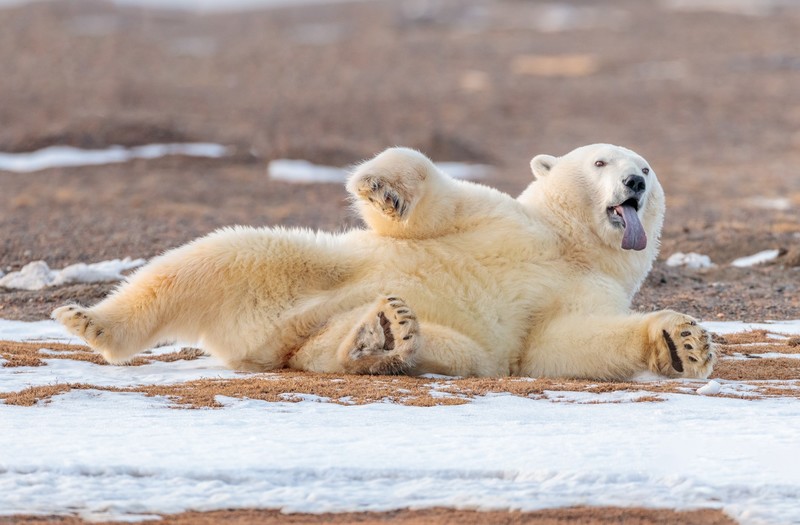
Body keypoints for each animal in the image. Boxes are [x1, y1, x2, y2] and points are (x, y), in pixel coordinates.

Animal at [53, 144, 716, 380]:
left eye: (647, 168)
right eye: (601, 161)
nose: (635, 181)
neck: (567, 242)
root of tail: (264, 339)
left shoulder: (588, 288)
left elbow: (558, 344)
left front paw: (683, 342)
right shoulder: (506, 217)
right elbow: (432, 206)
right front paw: (382, 187)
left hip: (356, 332)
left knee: (440, 349)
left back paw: (381, 336)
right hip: (296, 265)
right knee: (217, 256)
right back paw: (94, 322)